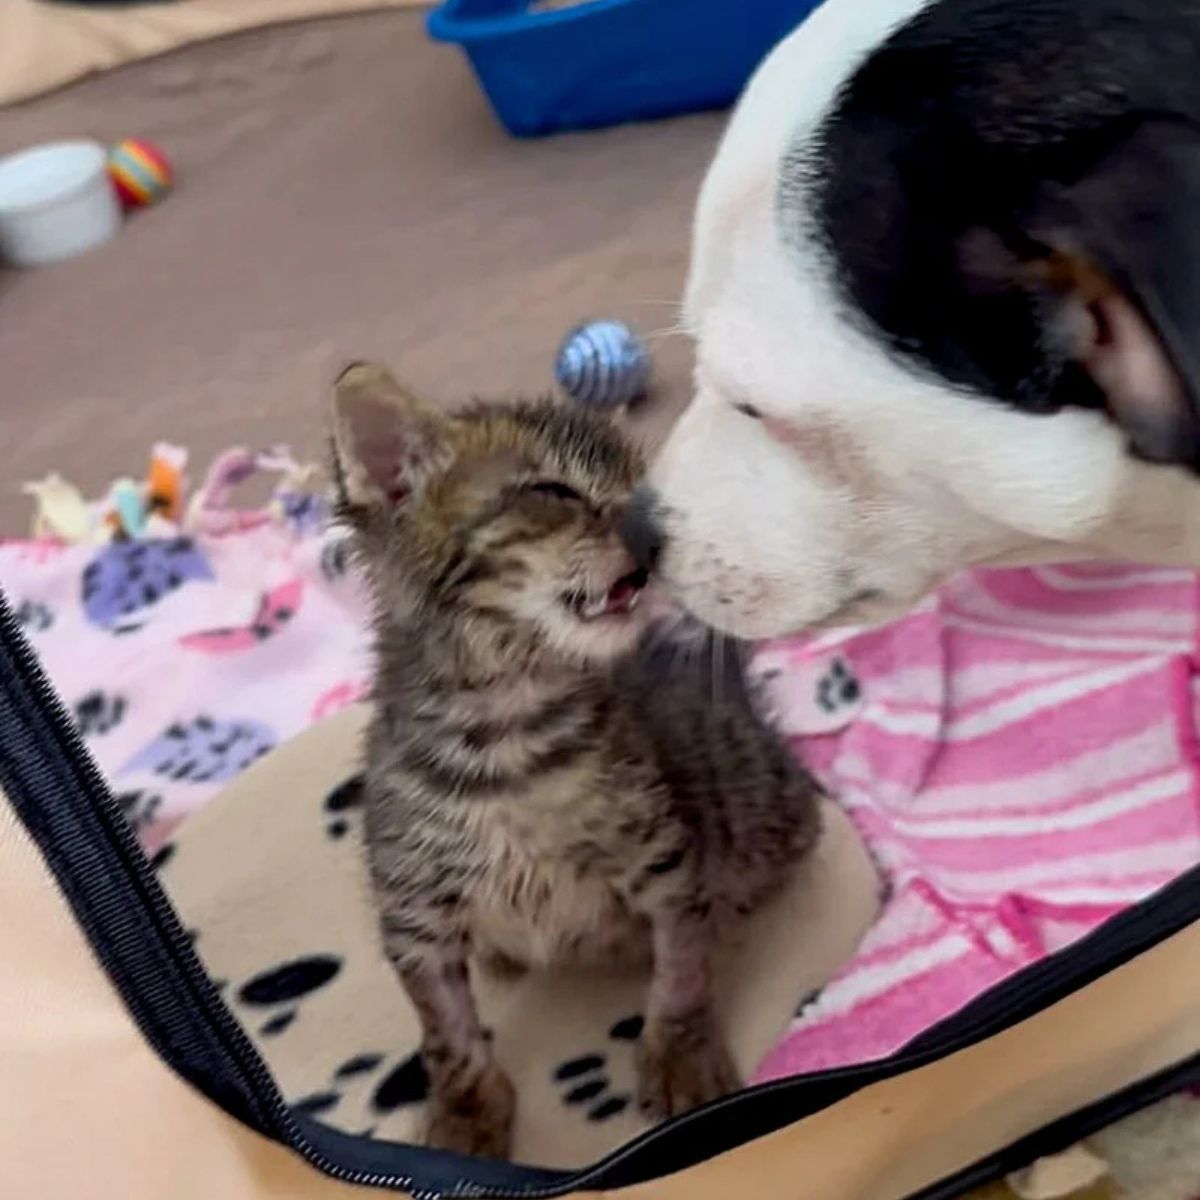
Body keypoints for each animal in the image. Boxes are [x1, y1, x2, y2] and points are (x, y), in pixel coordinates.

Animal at [331, 360, 825, 1156]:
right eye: (553, 492)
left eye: (640, 488)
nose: (654, 538)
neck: (505, 740)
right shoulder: (413, 913)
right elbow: (446, 1033)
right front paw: (465, 1113)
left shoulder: (667, 863)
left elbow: (680, 971)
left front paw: (679, 1052)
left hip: (765, 808)